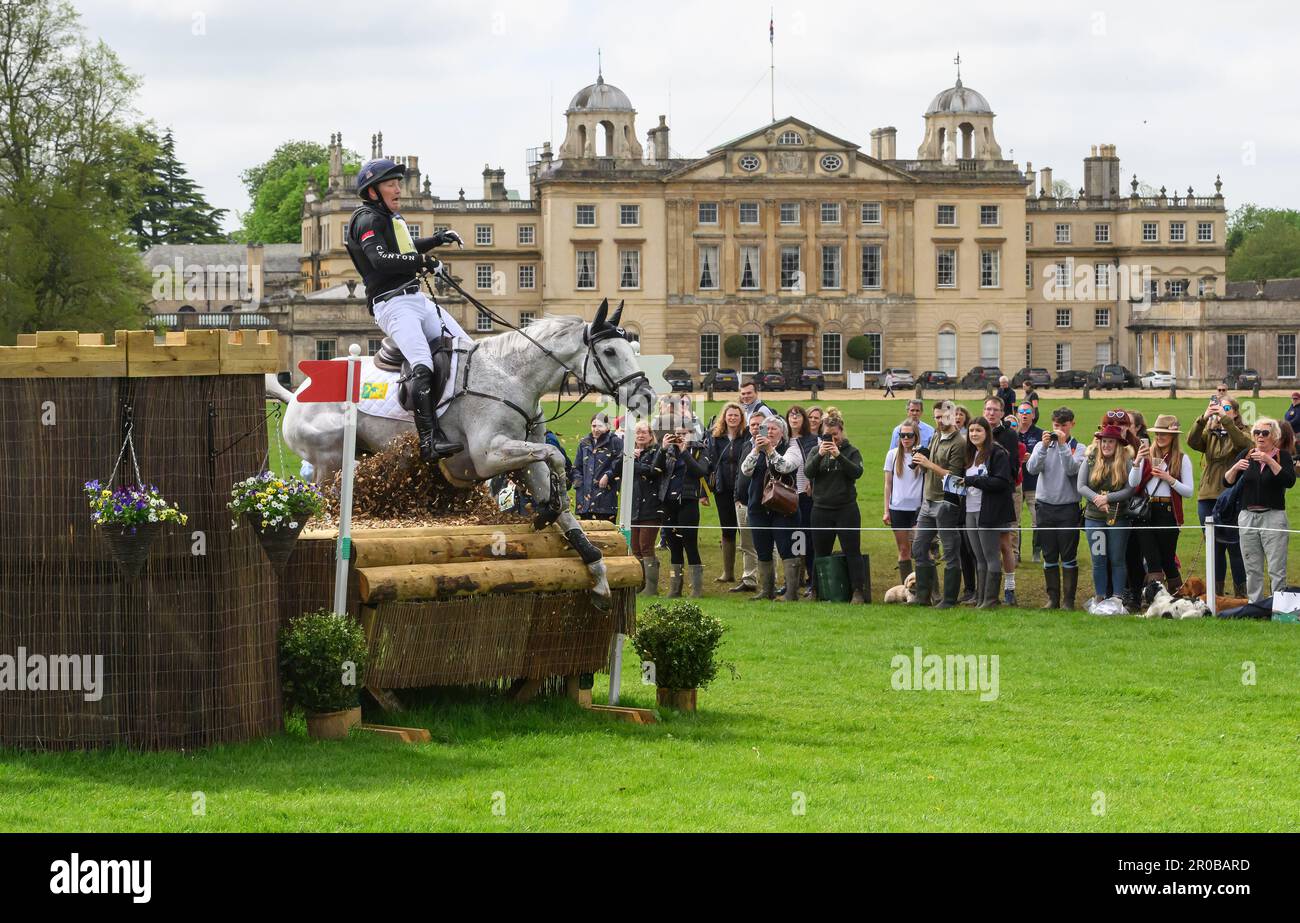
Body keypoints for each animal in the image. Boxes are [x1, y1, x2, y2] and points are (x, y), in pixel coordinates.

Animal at [269, 300, 655, 611]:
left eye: (630, 347)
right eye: (610, 352)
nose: (647, 397)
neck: (513, 377)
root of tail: (297, 393)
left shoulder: (522, 458)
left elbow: (562, 503)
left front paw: (596, 574)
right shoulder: (489, 455)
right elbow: (554, 458)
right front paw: (549, 508)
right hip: (329, 463)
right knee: (323, 508)